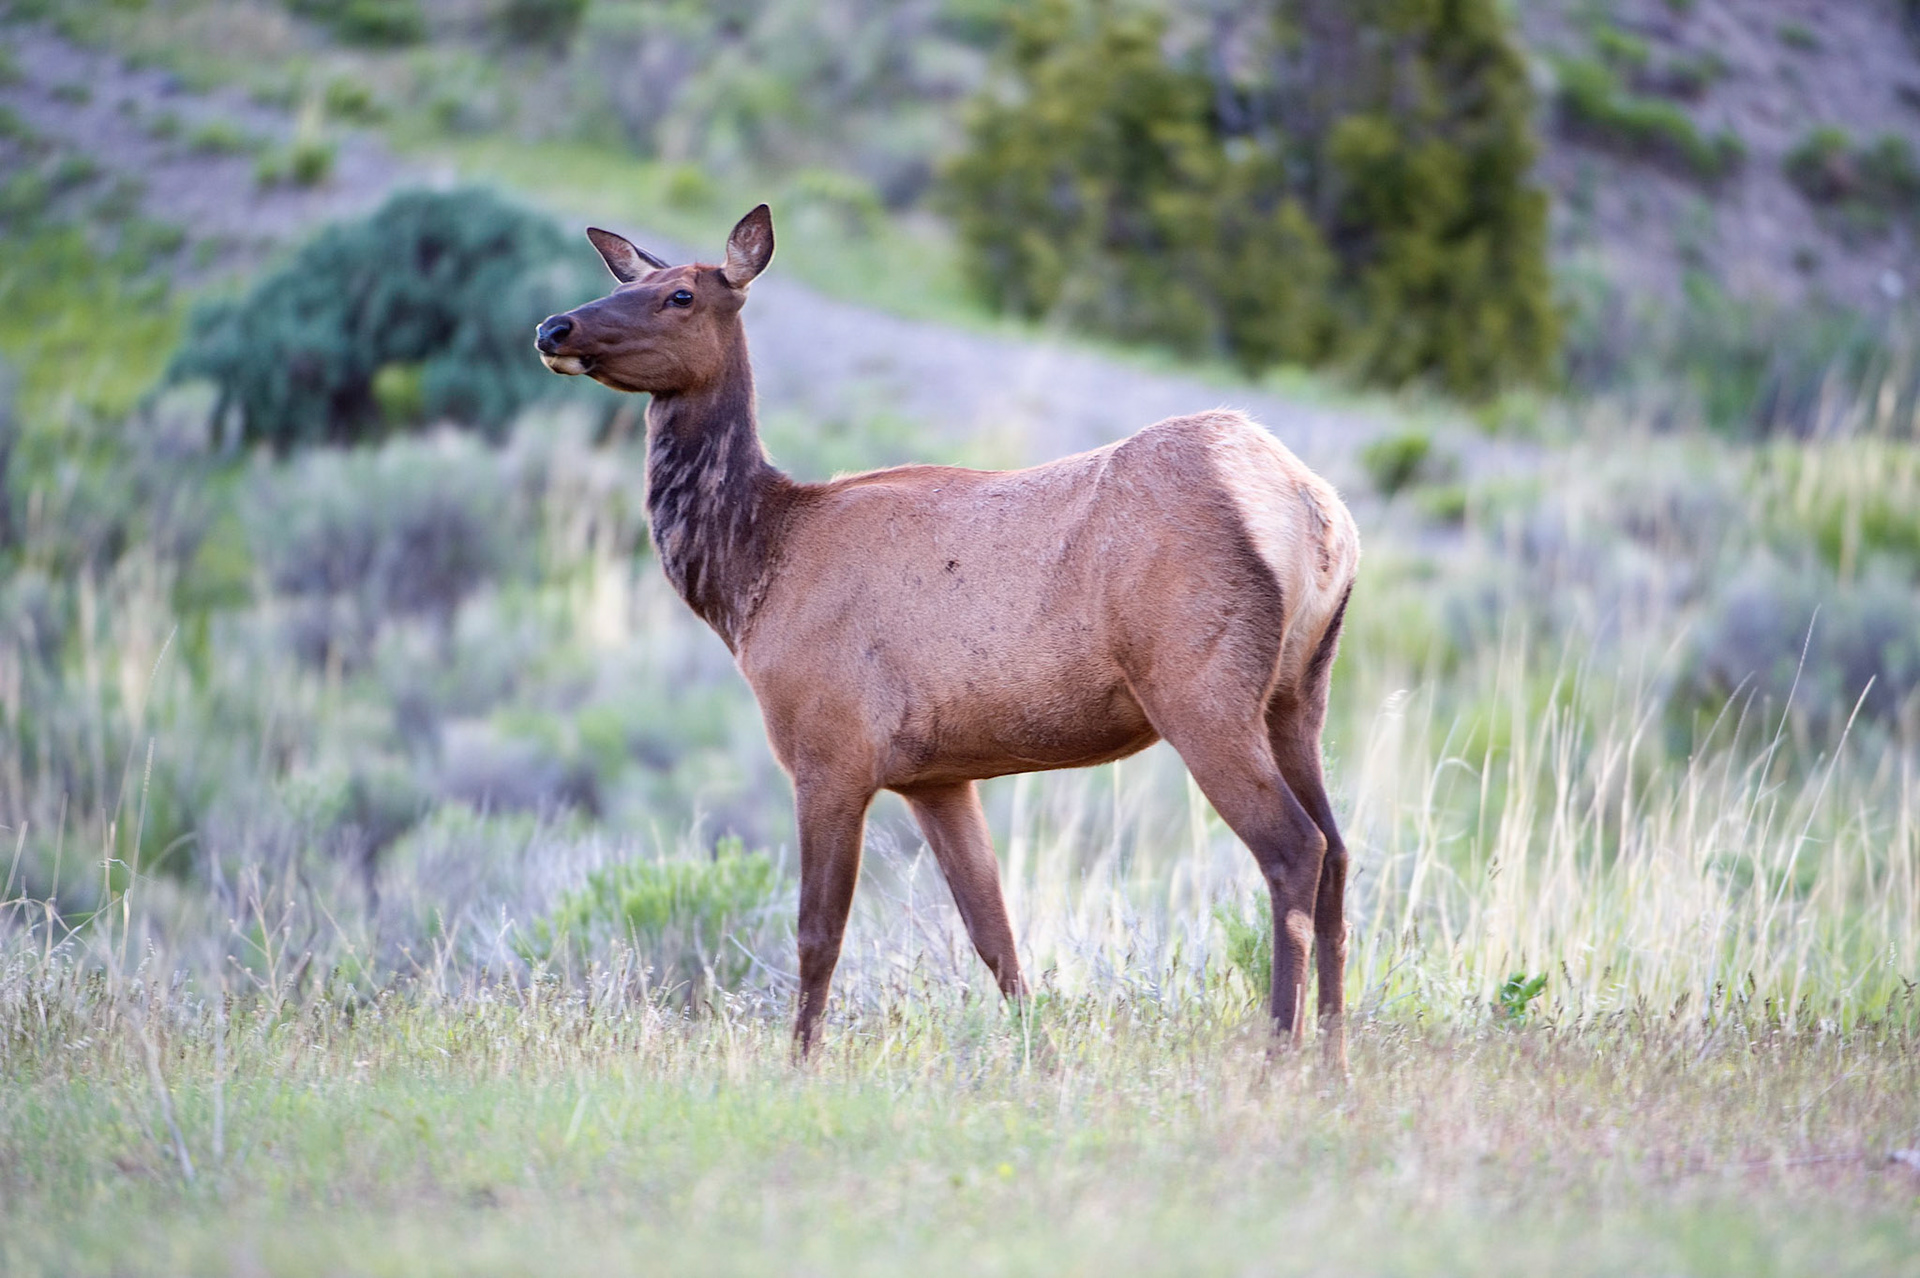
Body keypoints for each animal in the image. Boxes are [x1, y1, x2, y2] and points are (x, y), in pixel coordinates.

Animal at [535, 205, 1361, 1065]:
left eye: (682, 295)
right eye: (626, 282)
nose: (554, 327)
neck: (751, 578)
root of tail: (1314, 509)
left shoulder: (830, 746)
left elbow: (817, 933)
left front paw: (798, 1065)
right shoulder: (936, 774)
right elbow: (996, 937)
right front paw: (1039, 1057)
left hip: (1201, 689)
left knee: (1293, 848)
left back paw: (1281, 1053)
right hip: (1299, 692)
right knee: (1338, 852)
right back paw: (1333, 1062)